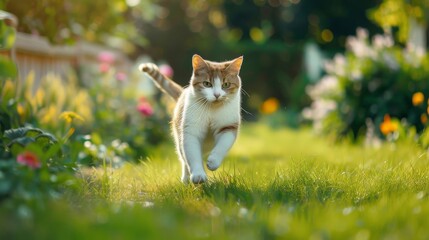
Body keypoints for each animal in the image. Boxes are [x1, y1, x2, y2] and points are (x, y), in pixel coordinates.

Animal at [139, 54, 242, 184]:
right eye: (207, 84)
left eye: (226, 85)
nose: (217, 95)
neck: (212, 109)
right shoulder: (190, 130)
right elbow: (192, 154)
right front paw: (198, 175)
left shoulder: (228, 126)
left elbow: (223, 144)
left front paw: (213, 162)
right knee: (184, 158)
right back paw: (186, 179)